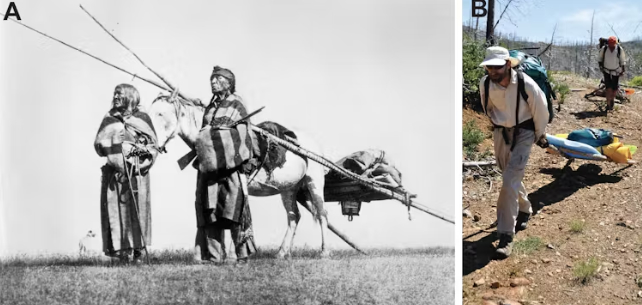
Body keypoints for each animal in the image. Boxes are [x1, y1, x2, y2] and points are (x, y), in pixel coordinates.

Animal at [148, 91, 332, 258]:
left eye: (161, 113)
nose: (150, 145)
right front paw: (218, 255)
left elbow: (235, 217)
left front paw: (233, 255)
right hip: (288, 188)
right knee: (293, 216)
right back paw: (282, 252)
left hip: (314, 182)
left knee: (322, 214)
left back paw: (324, 251)